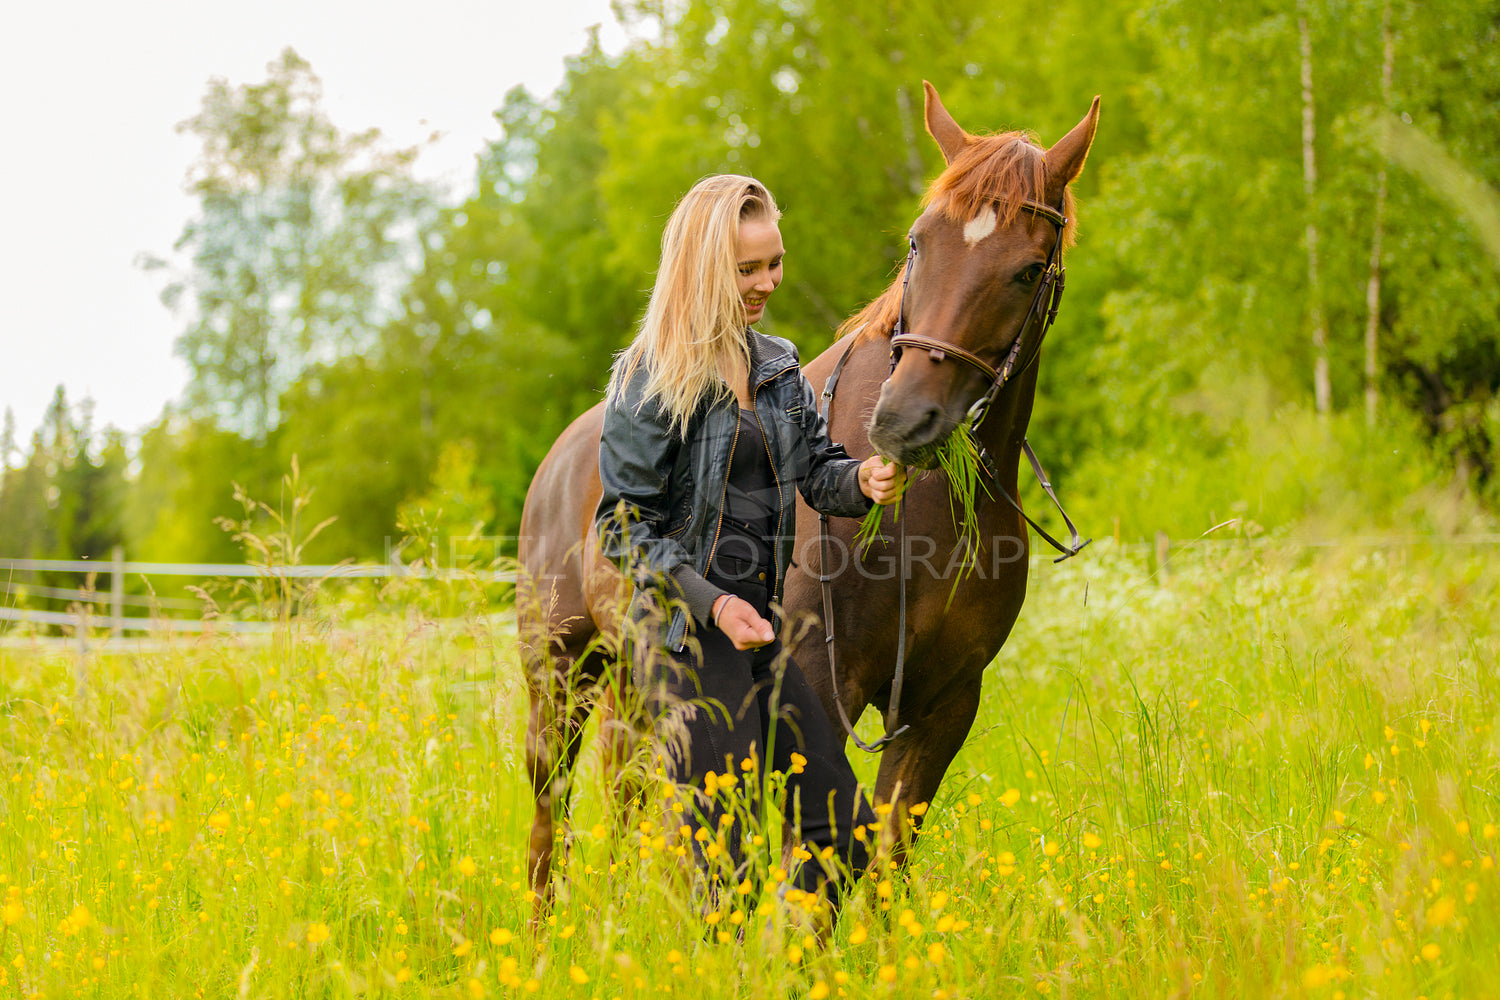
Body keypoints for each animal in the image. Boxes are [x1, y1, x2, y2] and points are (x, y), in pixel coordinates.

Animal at [519, 82, 1104, 905]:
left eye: (1027, 269)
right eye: (920, 241)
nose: (902, 421)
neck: (926, 524)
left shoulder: (944, 702)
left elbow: (884, 858)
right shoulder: (820, 691)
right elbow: (813, 873)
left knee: (633, 794)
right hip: (559, 674)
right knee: (551, 817)